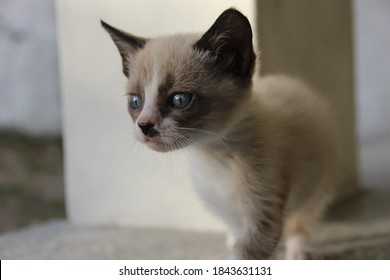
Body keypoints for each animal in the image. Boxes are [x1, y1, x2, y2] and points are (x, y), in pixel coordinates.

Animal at [101, 7, 342, 260]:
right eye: (135, 102)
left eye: (180, 100)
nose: (144, 126)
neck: (213, 154)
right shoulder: (227, 211)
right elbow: (240, 237)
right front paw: (236, 243)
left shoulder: (264, 210)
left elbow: (244, 254)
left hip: (319, 182)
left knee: (302, 219)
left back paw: (299, 253)